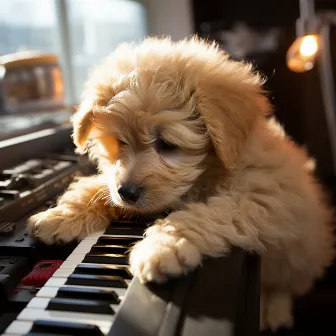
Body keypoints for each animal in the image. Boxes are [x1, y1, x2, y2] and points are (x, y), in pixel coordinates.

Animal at [27, 36, 334, 330]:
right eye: (119, 142)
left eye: (167, 144)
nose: (127, 192)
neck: (208, 171)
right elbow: (97, 187)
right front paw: (59, 215)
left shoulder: (263, 195)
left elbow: (210, 213)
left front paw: (162, 247)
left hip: (299, 253)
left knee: (285, 286)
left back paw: (274, 309)